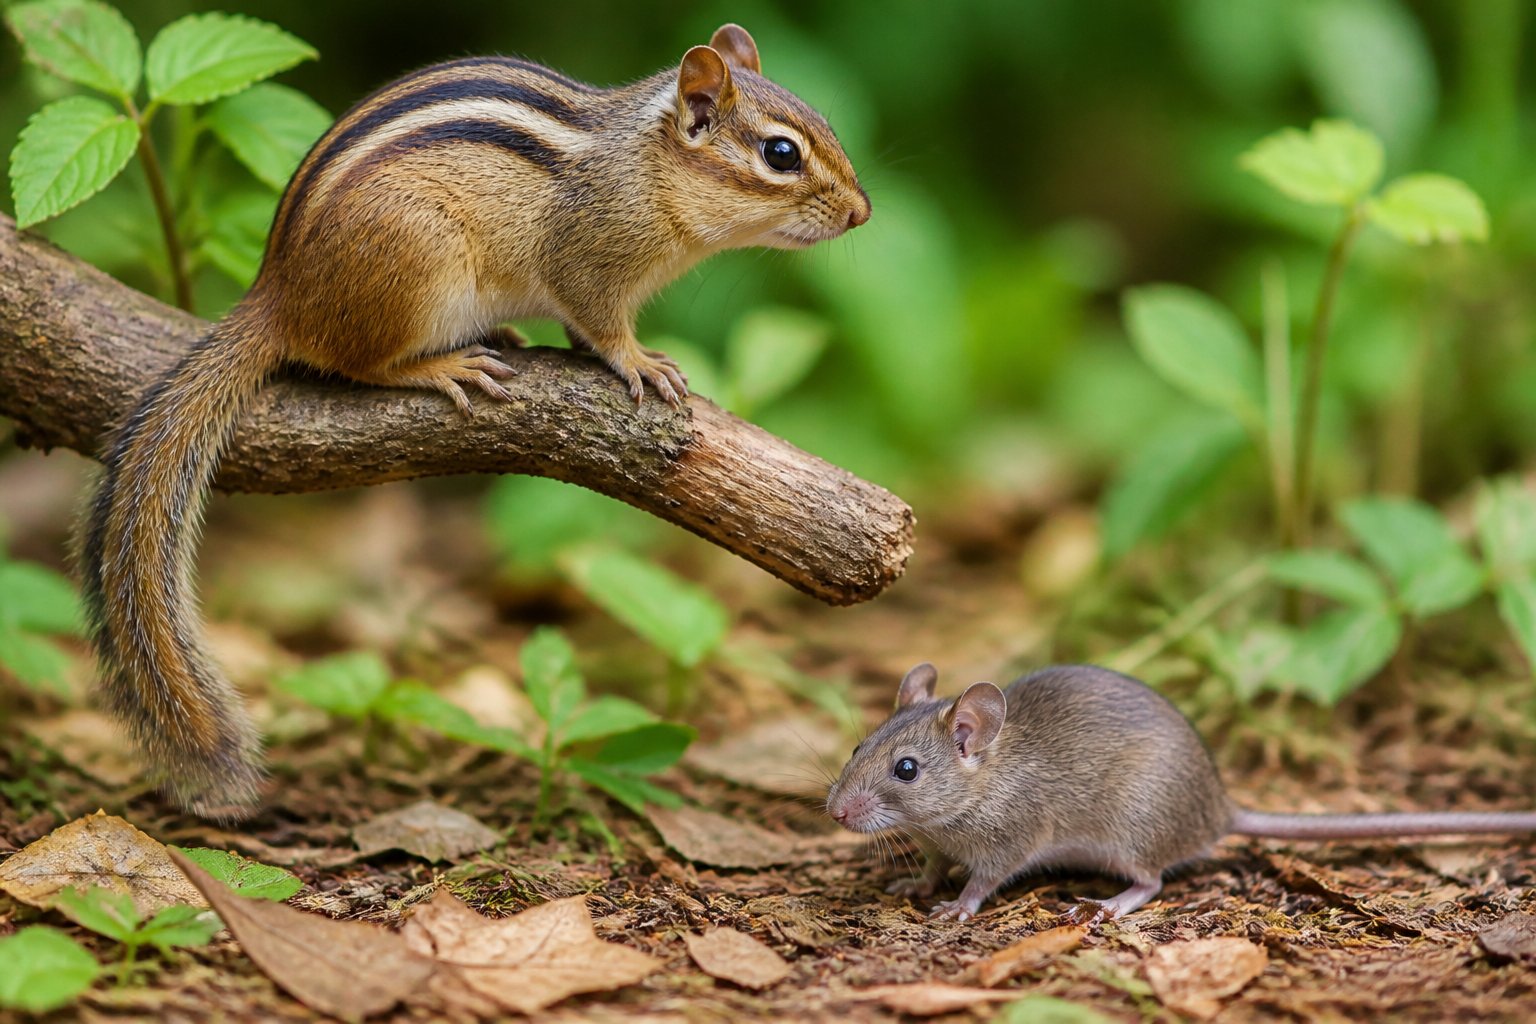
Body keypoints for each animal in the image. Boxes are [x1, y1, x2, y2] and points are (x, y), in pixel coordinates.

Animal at [81, 24, 870, 818]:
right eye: (781, 154)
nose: (862, 214)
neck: (647, 171)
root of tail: (278, 293)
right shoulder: (588, 265)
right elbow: (601, 325)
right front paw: (640, 361)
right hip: (417, 263)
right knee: (357, 362)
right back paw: (441, 367)